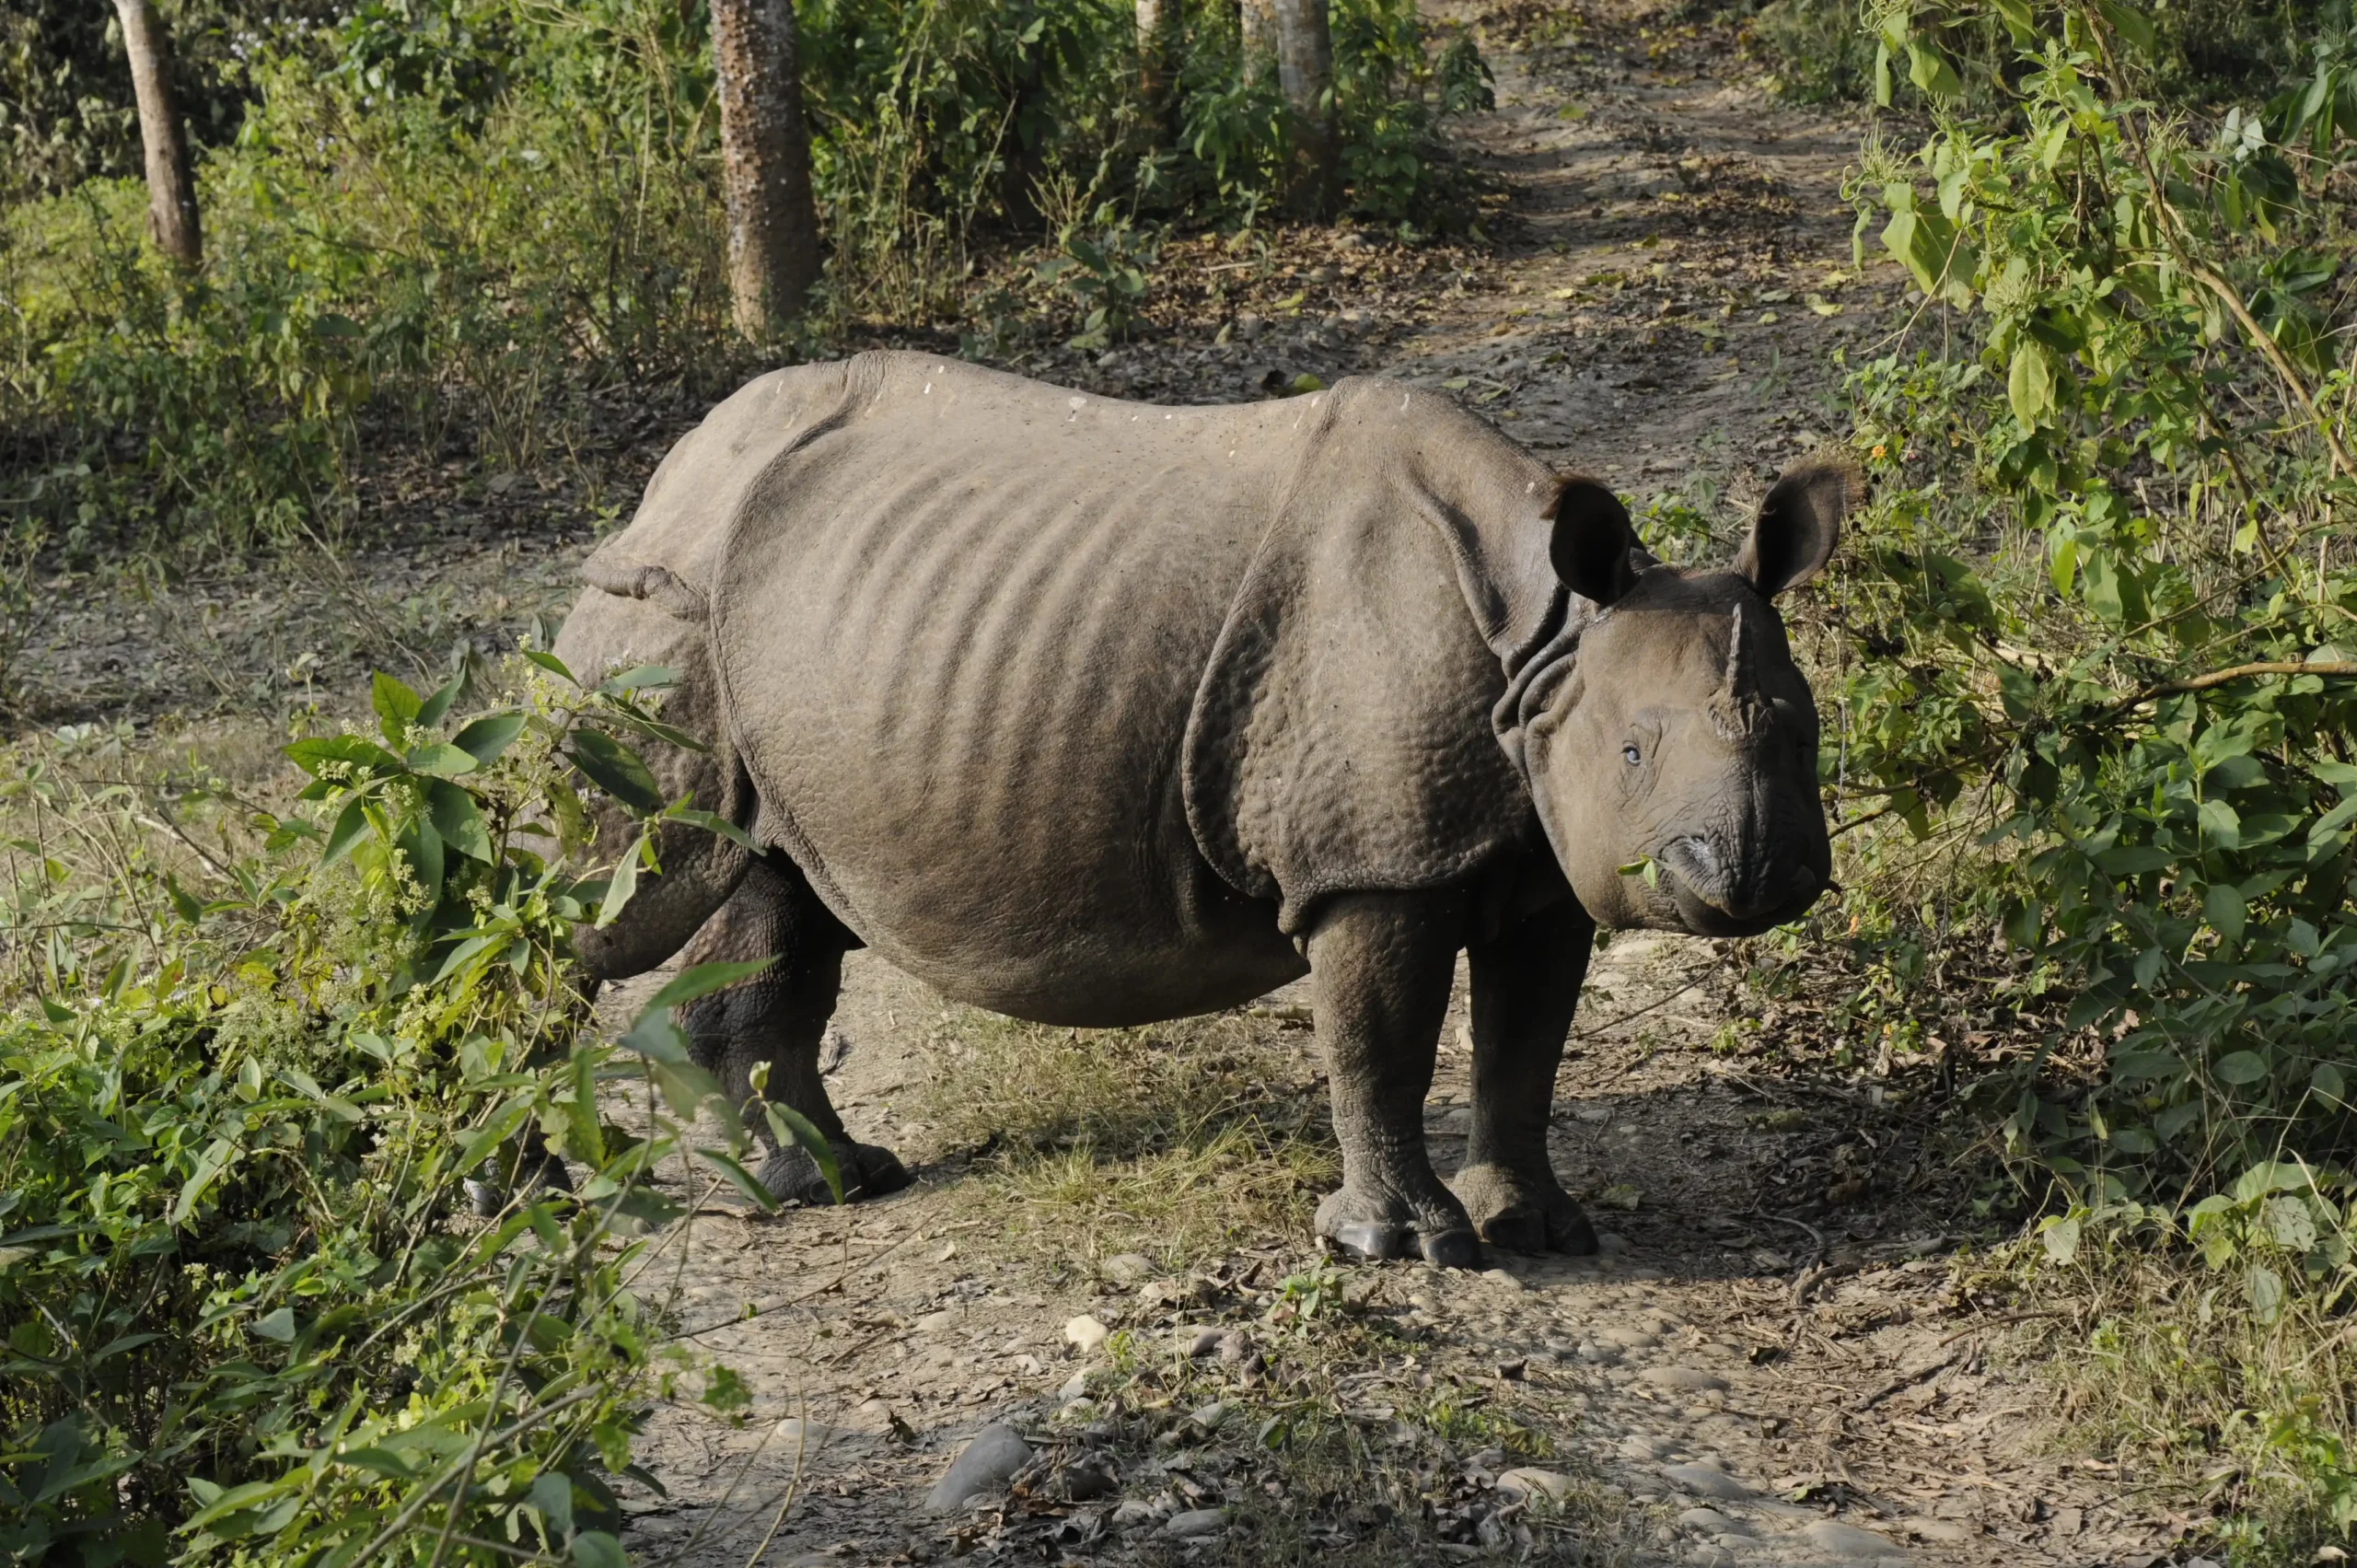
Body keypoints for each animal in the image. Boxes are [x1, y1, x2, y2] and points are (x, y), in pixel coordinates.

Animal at [554, 350, 1851, 1265]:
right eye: (1632, 749)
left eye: (1804, 737)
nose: (1752, 874)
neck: (1545, 647)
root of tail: (671, 470)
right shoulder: (1371, 861)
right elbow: (1379, 1039)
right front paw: (1403, 1246)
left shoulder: (1541, 857)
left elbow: (1527, 1041)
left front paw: (1540, 1230)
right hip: (660, 609)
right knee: (605, 900)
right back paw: (540, 1195)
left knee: (781, 886)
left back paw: (834, 1181)